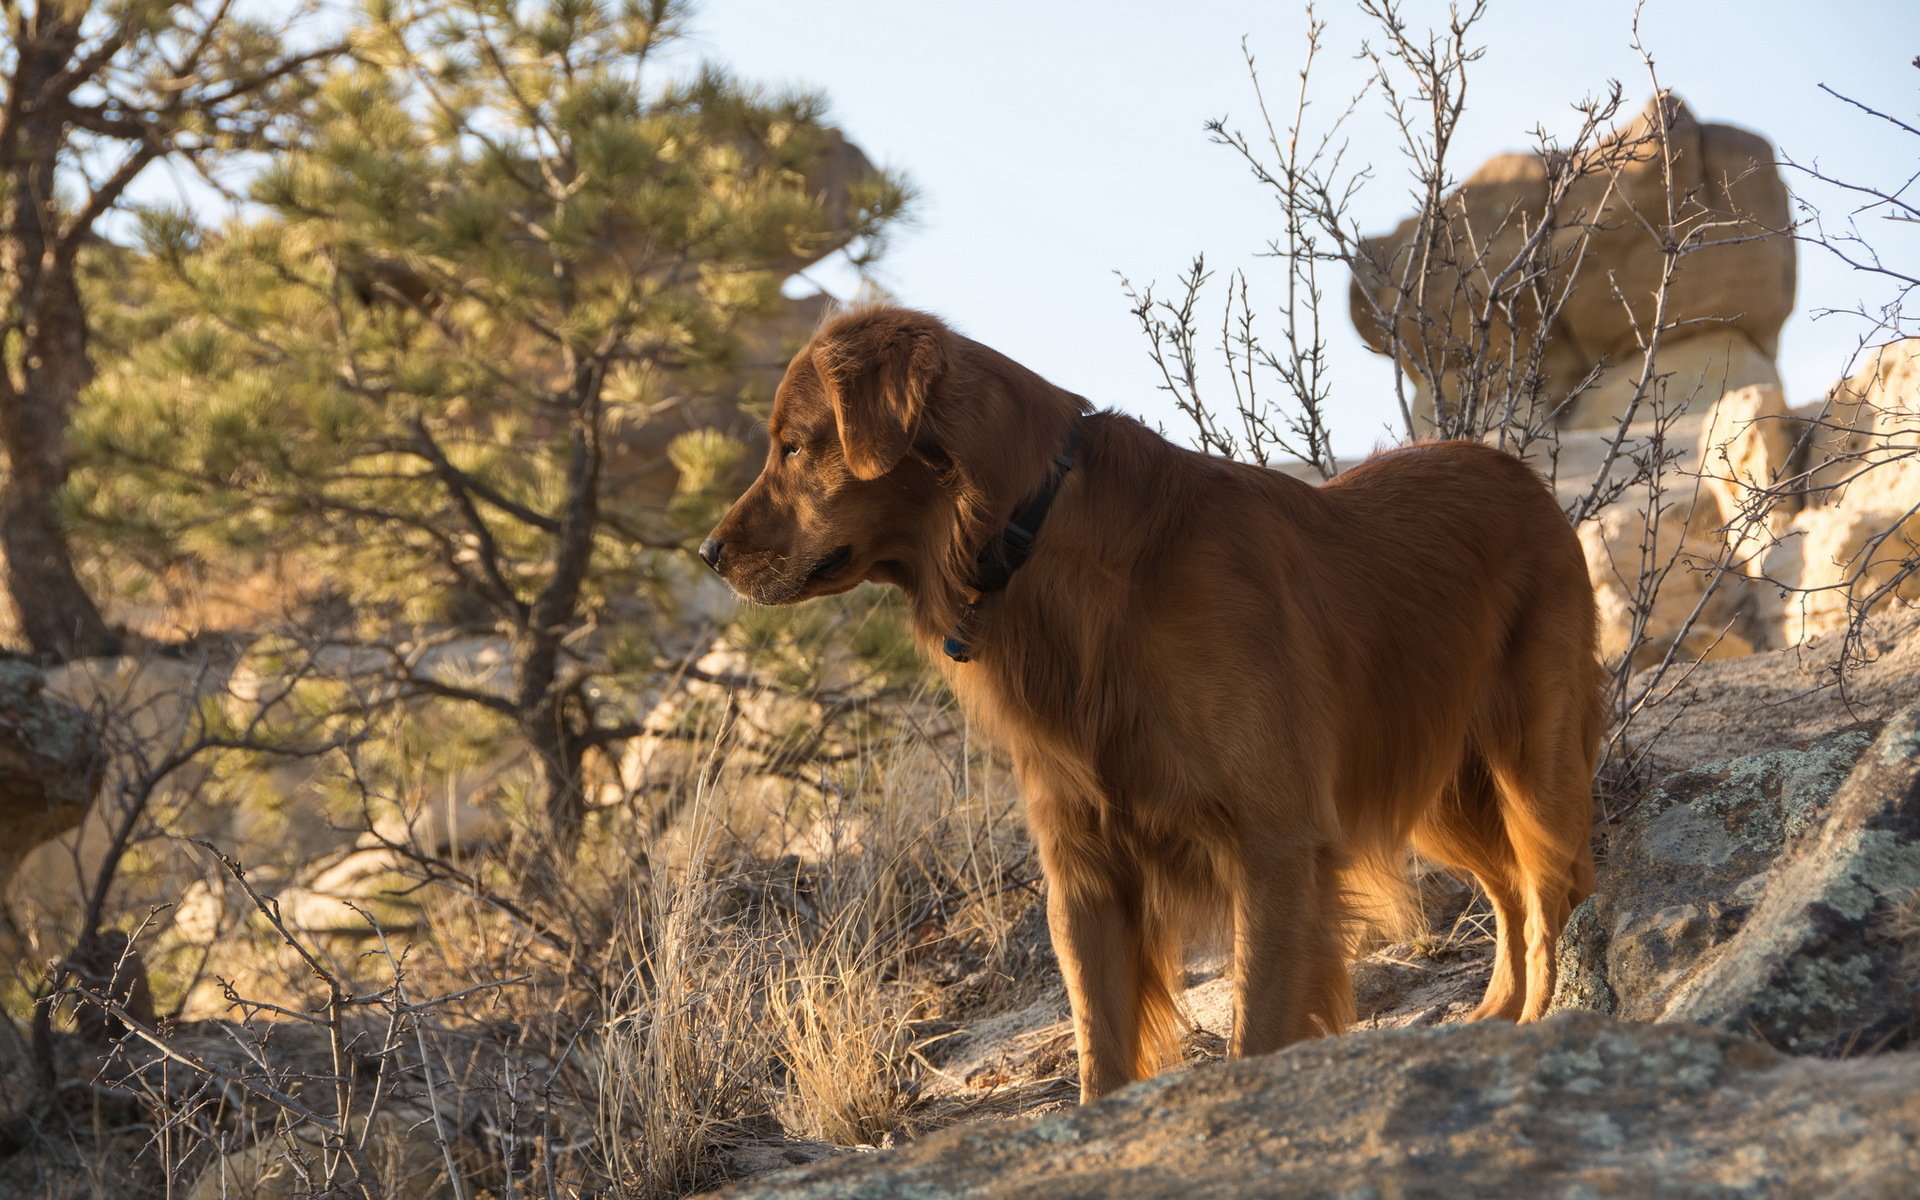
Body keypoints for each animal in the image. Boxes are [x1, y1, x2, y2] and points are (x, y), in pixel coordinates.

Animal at [706, 303, 1605, 1098]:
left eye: (794, 445)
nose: (710, 552)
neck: (1032, 538)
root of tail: (1520, 474)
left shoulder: (1275, 842)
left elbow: (1256, 1026)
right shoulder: (1086, 868)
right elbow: (1100, 1051)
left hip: (1529, 763)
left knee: (1551, 890)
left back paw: (1548, 1025)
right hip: (1436, 785)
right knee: (1512, 893)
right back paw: (1498, 1019)